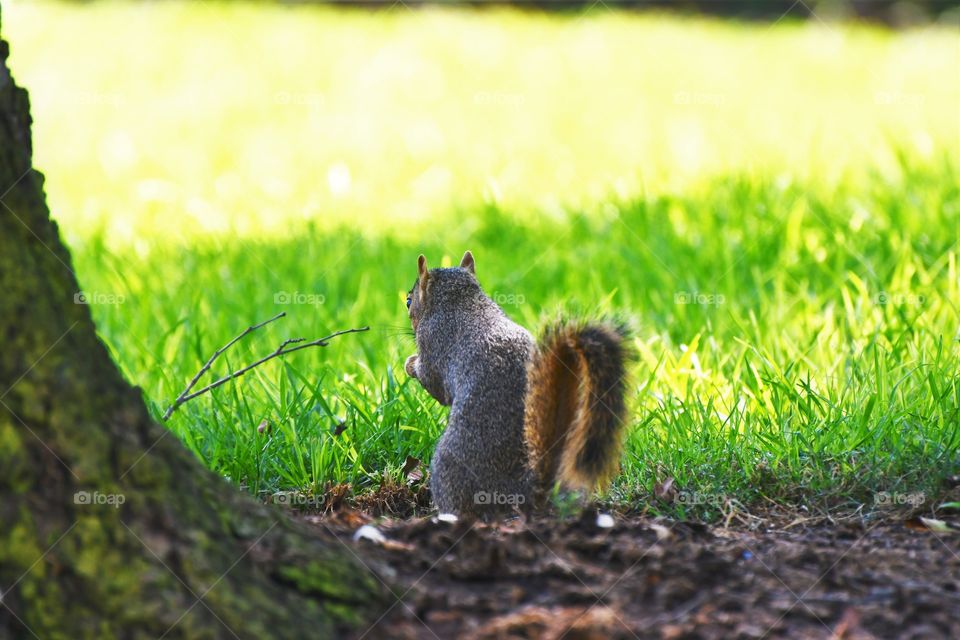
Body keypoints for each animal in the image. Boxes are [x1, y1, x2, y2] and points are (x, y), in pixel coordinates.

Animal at [404, 251, 632, 520]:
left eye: (409, 301)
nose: (408, 306)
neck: (462, 301)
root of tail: (531, 486)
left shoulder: (433, 344)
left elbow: (435, 385)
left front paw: (410, 364)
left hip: (448, 463)